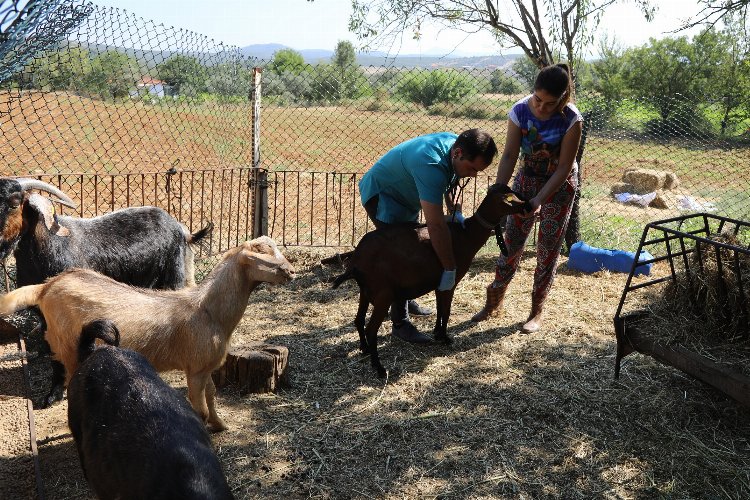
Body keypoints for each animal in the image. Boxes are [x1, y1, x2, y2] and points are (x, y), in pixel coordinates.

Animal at [0, 236, 294, 432]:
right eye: (262, 256)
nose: (290, 271)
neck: (208, 311)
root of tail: (45, 287)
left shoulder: (205, 367)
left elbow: (211, 396)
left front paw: (221, 425)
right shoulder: (195, 369)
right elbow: (198, 409)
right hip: (69, 348)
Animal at [334, 186, 528, 376]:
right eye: (510, 198)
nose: (527, 206)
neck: (466, 236)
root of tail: (356, 261)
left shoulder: (439, 284)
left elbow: (440, 310)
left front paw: (437, 333)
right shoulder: (451, 282)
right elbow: (447, 311)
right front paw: (445, 337)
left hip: (365, 291)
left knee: (358, 320)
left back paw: (365, 349)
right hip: (383, 295)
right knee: (371, 329)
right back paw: (379, 368)